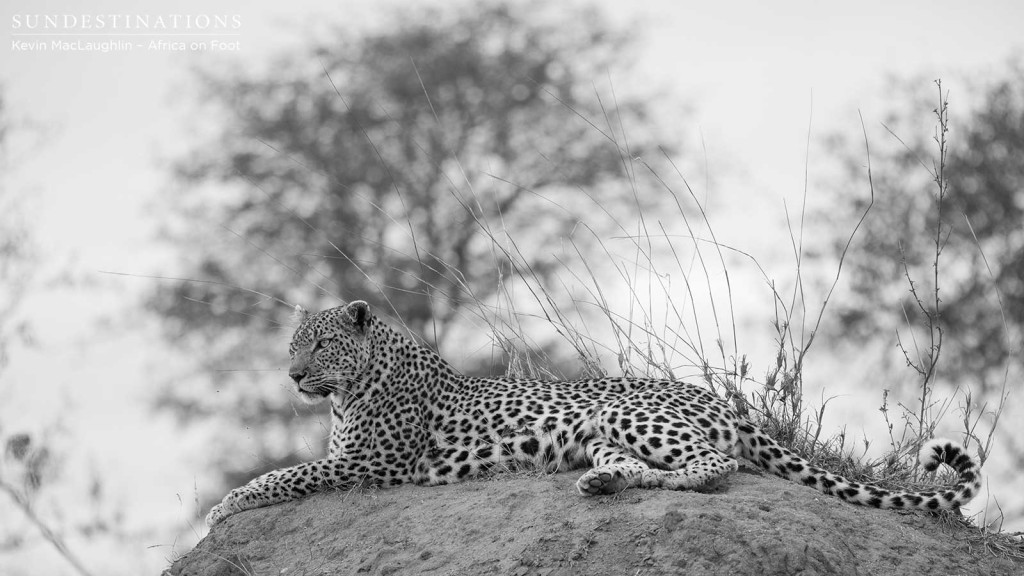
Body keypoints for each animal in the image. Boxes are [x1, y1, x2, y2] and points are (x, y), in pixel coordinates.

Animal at [203, 301, 978, 524]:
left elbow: (287, 474)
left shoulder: (368, 462)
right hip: (601, 432)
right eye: (292, 346)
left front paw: (223, 505)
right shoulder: (355, 457)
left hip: (634, 415)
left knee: (715, 466)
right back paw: (602, 484)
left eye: (321, 344)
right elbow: (293, 469)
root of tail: (717, 399)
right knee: (646, 467)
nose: (293, 375)